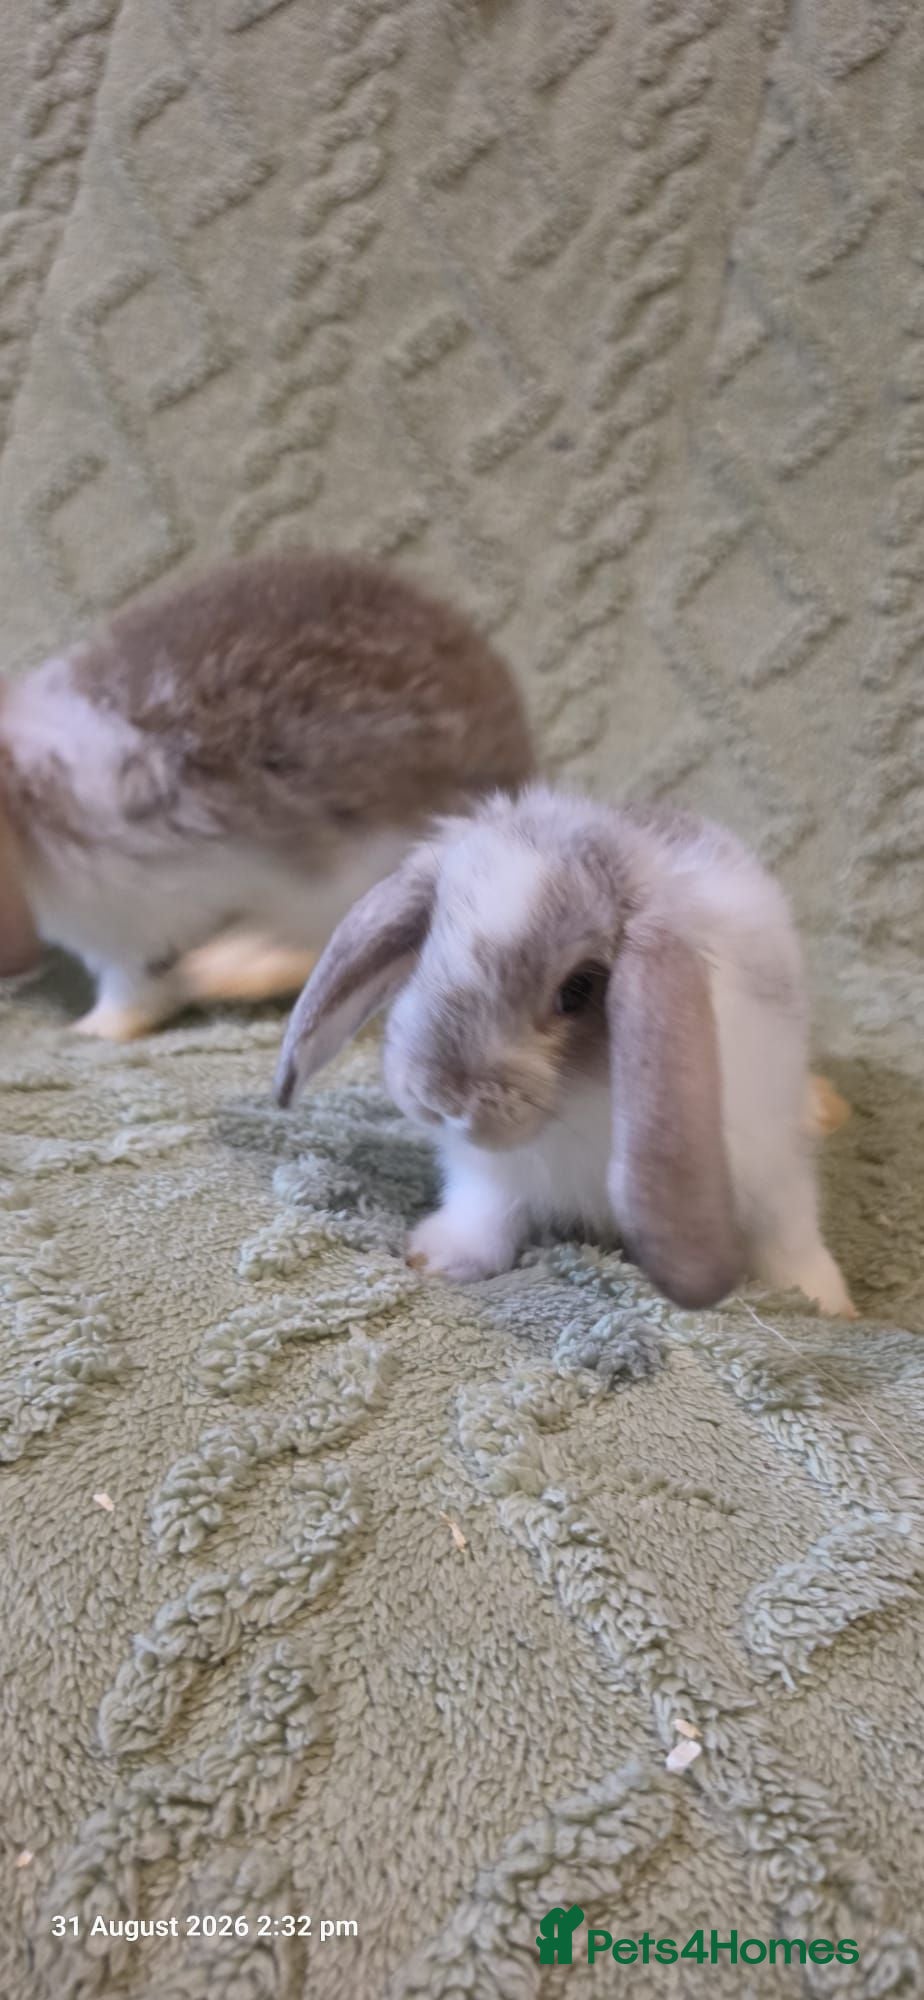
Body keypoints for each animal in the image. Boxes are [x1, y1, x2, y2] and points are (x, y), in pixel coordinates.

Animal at [274, 785, 856, 1319]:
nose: (439, 1097)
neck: (583, 1103)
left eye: (577, 989)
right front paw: (435, 1257)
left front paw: (826, 1301)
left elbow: (788, 1232)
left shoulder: (770, 1163)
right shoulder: (491, 1175)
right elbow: (484, 1209)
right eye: (428, 947)